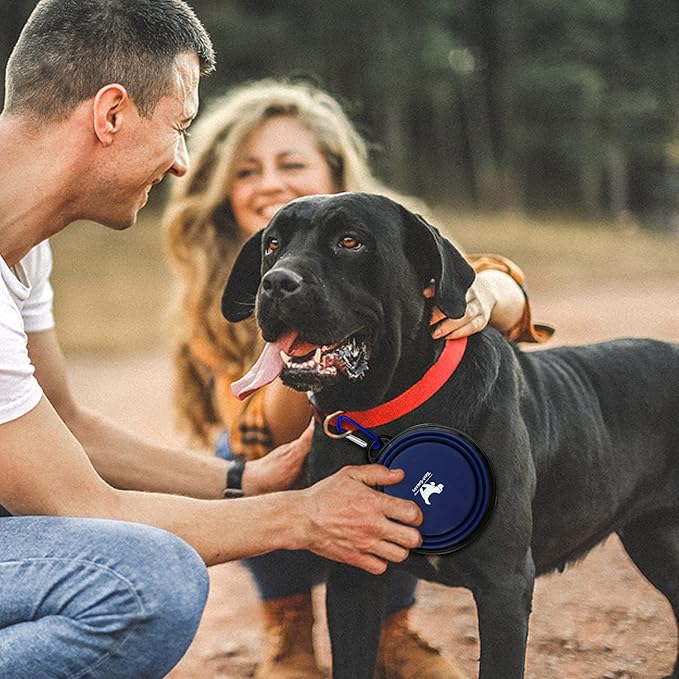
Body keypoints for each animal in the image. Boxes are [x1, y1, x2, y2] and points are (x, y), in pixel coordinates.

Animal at [222, 193, 679, 679]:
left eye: (350, 241)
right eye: (273, 244)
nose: (275, 283)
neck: (391, 416)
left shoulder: (504, 585)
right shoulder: (353, 575)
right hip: (653, 537)